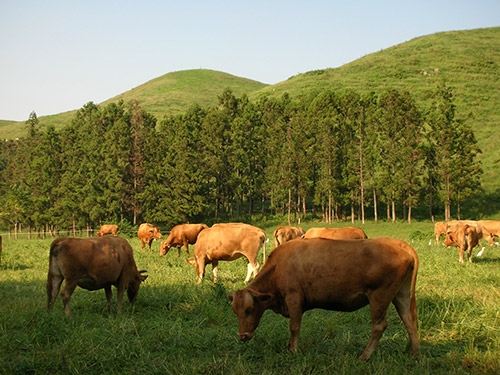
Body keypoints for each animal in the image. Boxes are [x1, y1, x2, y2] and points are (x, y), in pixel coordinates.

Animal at [229, 238, 420, 362]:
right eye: (235, 311)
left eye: (249, 309)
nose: (243, 336)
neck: (278, 266)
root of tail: (400, 244)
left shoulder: (294, 298)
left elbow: (294, 327)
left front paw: (293, 350)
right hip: (400, 295)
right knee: (409, 321)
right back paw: (414, 354)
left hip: (379, 297)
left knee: (379, 326)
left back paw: (364, 356)